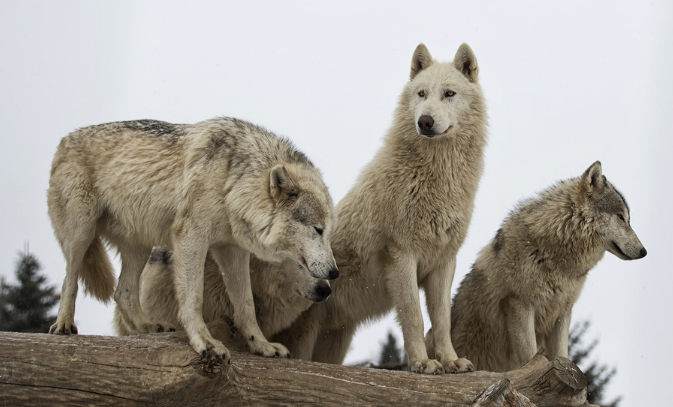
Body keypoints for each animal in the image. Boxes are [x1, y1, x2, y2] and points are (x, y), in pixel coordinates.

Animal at [272, 43, 487, 374]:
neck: (436, 177)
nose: (425, 121)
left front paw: (451, 361)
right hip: (302, 336)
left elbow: (442, 320)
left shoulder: (444, 262)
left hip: (334, 343)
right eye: (422, 94)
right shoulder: (402, 256)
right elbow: (414, 317)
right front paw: (422, 363)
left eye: (449, 94)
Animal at [425, 161, 647, 372]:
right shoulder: (520, 304)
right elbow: (531, 356)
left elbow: (562, 356)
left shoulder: (563, 312)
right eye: (621, 217)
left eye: (627, 218)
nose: (644, 251)